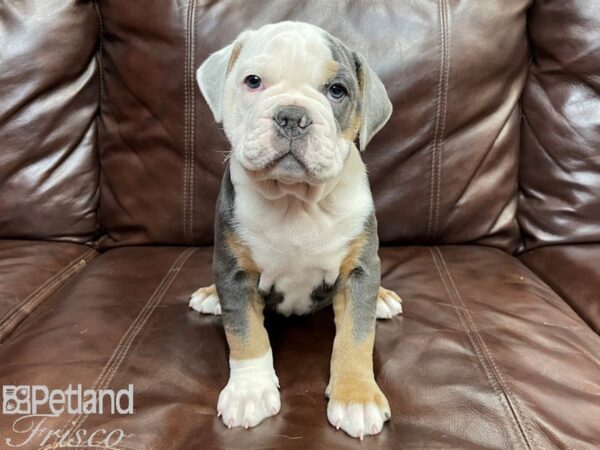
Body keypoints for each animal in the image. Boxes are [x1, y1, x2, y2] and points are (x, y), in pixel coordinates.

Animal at [190, 21, 400, 440]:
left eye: (337, 91)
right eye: (253, 81)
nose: (292, 116)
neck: (295, 201)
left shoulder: (359, 272)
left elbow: (356, 337)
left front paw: (356, 398)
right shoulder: (235, 272)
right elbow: (246, 335)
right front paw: (250, 392)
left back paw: (383, 298)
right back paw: (209, 295)